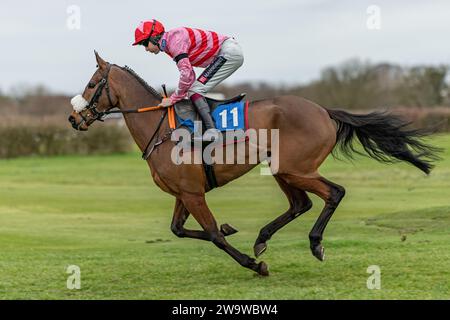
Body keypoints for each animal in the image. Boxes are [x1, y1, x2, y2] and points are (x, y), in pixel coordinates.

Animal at [67, 52, 440, 276]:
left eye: (91, 84)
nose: (73, 119)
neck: (162, 128)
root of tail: (323, 110)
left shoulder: (193, 193)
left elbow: (213, 235)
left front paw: (254, 264)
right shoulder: (183, 193)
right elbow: (179, 230)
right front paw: (235, 232)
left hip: (297, 168)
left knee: (334, 193)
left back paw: (314, 243)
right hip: (282, 168)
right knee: (300, 204)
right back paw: (263, 237)